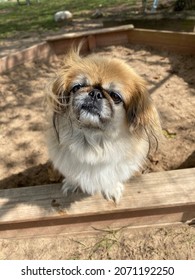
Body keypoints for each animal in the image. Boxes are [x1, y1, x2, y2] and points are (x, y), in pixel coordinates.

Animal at [46, 46, 161, 203]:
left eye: (115, 96)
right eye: (77, 87)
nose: (95, 93)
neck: (93, 141)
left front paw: (112, 189)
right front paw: (71, 184)